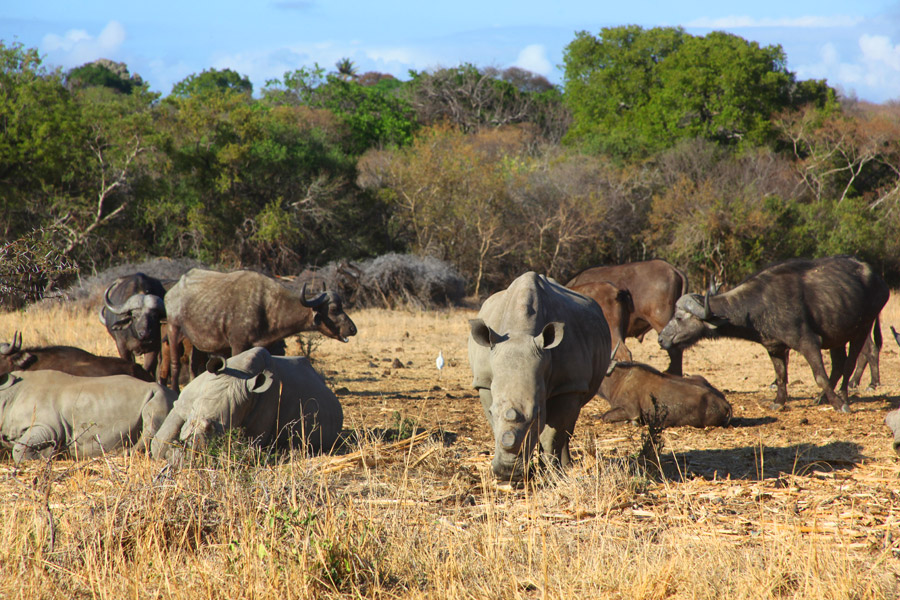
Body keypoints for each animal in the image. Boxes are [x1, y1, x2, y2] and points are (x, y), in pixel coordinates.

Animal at [0, 370, 175, 464]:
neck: (9, 395)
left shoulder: (49, 427)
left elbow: (20, 450)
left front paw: (46, 455)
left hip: (160, 395)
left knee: (151, 420)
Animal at [151, 346, 342, 460]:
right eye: (193, 418)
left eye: (223, 432)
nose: (193, 449)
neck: (240, 374)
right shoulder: (183, 403)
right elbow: (160, 441)